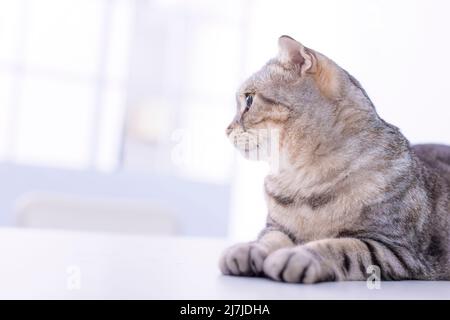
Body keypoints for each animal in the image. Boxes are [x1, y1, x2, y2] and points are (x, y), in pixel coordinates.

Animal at [220, 36, 450, 284]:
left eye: (249, 100)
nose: (226, 129)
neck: (302, 180)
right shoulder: (276, 227)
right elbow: (268, 239)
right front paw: (248, 249)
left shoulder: (394, 249)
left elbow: (341, 247)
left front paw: (298, 255)